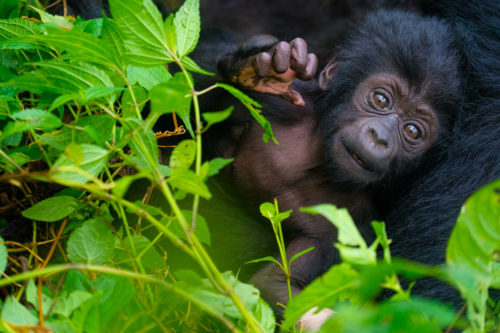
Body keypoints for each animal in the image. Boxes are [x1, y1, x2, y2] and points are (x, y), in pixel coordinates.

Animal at [211, 9, 460, 322]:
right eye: (380, 99)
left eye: (413, 131)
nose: (380, 137)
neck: (318, 163)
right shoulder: (289, 105)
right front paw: (259, 68)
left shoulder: (349, 226)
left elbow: (276, 284)